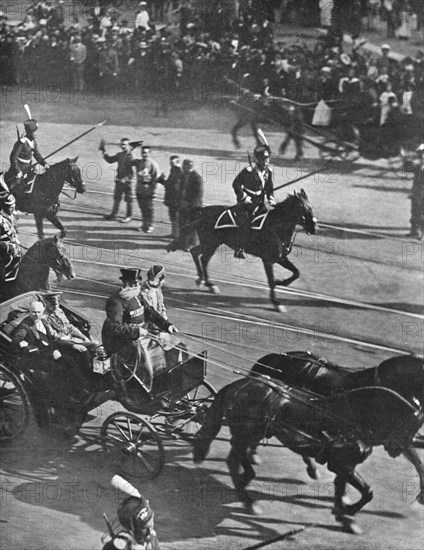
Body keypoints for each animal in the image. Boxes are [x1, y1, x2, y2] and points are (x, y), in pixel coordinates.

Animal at [169, 192, 318, 312]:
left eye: (310, 208)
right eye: (303, 209)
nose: (314, 228)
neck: (275, 227)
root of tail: (201, 211)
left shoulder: (280, 258)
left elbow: (296, 272)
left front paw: (281, 282)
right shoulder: (268, 260)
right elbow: (271, 281)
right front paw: (276, 301)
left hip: (211, 243)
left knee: (196, 253)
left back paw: (203, 281)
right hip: (211, 244)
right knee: (202, 258)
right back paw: (208, 283)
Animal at [194, 380, 422, 536]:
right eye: (411, 424)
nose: (396, 449)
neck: (352, 417)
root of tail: (240, 385)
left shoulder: (343, 465)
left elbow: (344, 490)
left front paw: (343, 516)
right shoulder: (342, 464)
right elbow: (367, 492)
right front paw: (347, 512)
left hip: (252, 434)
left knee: (239, 455)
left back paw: (247, 478)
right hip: (247, 432)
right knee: (234, 459)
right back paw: (248, 501)